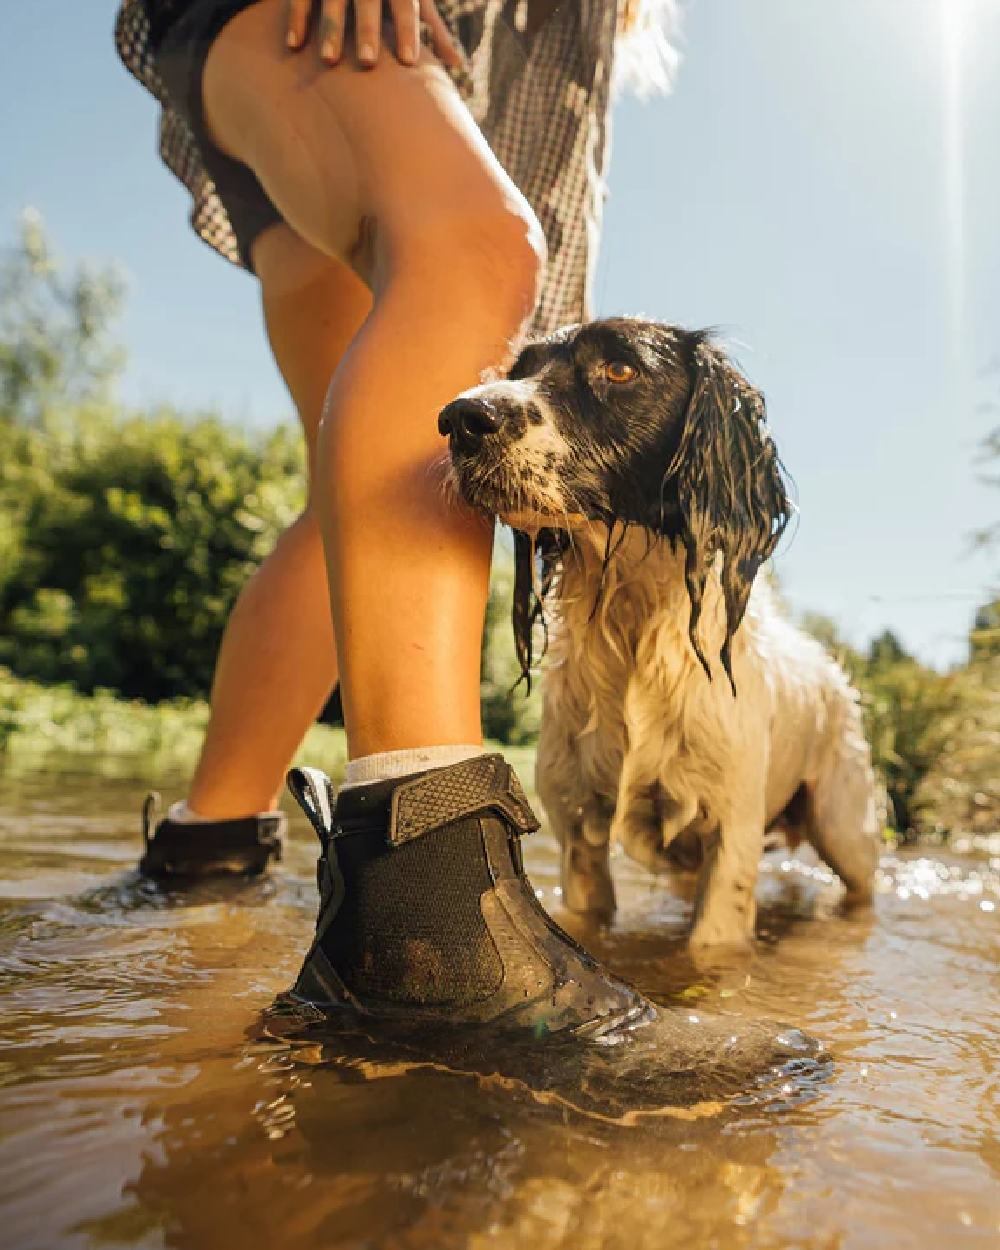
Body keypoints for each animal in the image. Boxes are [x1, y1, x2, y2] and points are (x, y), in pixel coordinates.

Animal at [442, 320, 880, 945]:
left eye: (621, 369)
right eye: (521, 368)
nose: (460, 418)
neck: (634, 620)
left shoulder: (730, 836)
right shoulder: (578, 830)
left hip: (845, 828)